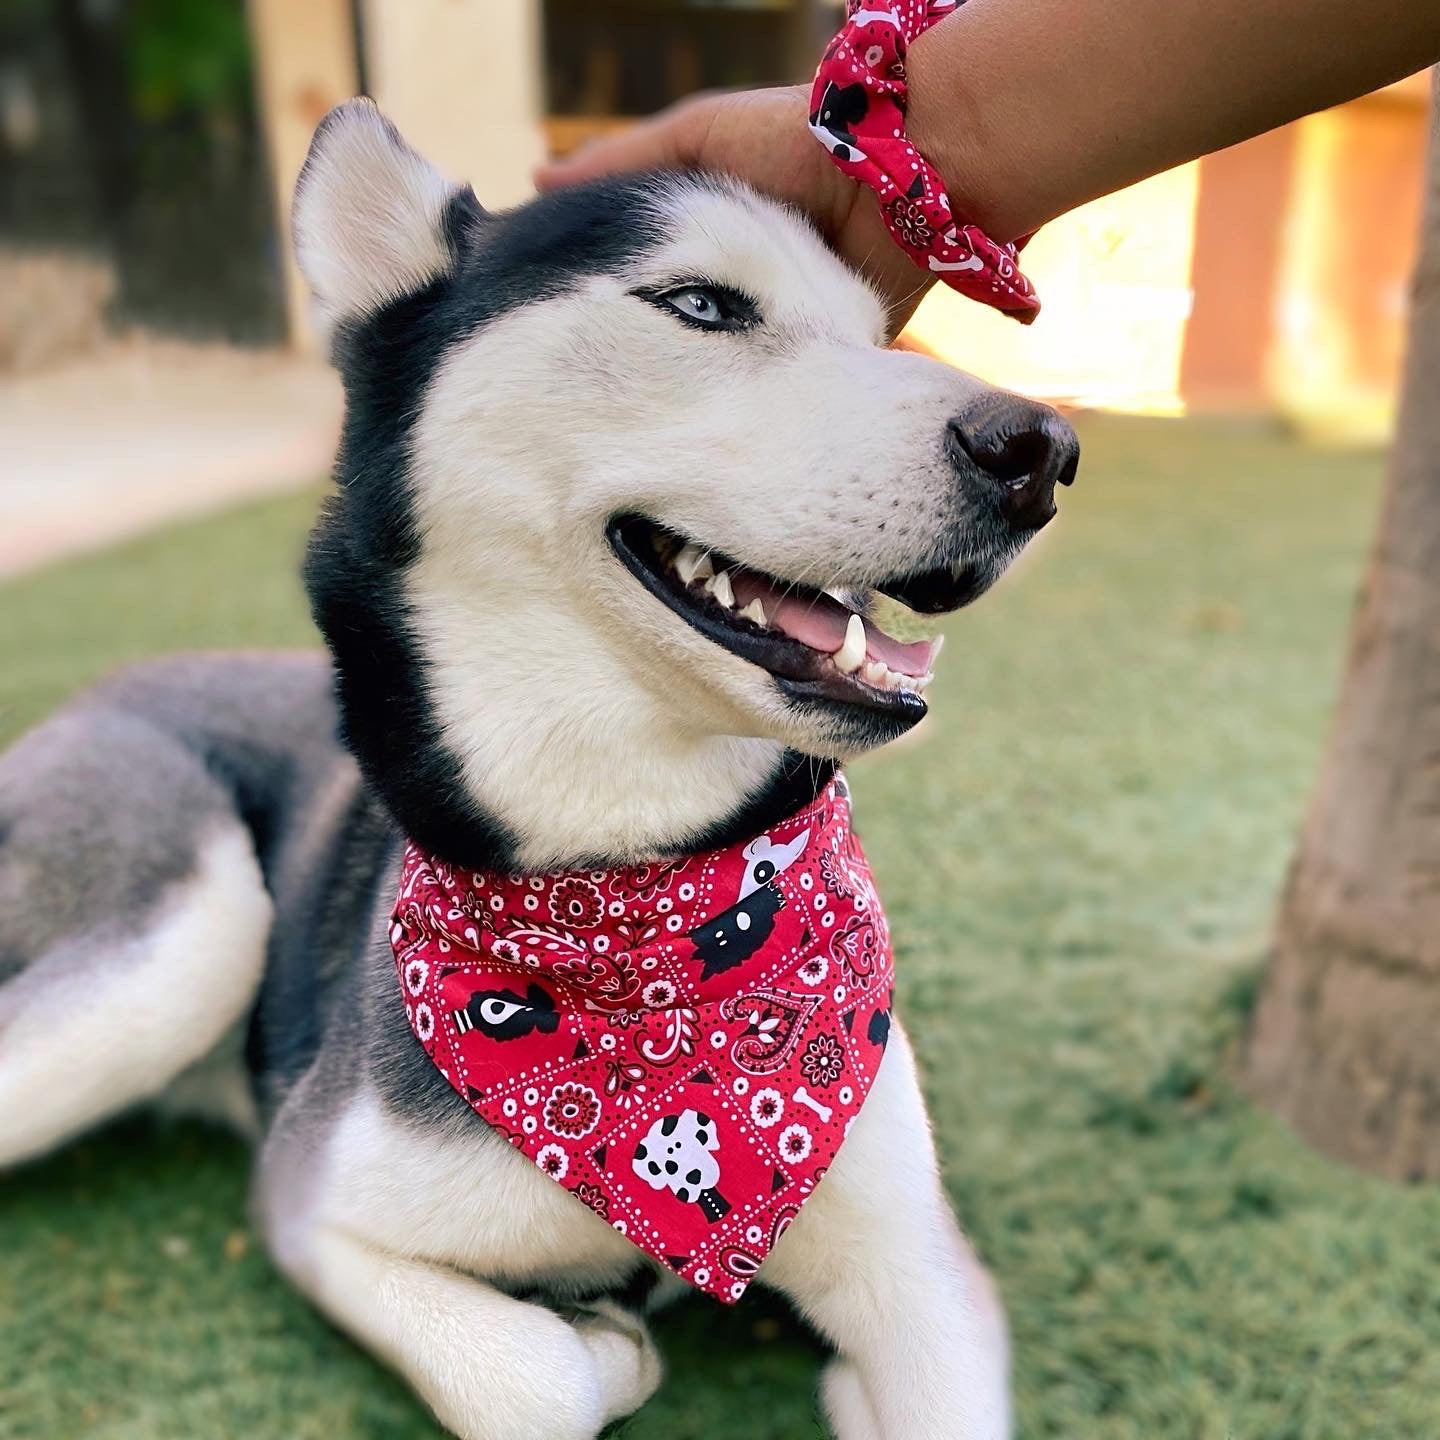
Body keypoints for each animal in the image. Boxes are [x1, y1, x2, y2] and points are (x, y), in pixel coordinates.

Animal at [0, 104, 1077, 1440]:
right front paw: (609, 1336)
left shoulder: (920, 1272)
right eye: (702, 305)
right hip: (181, 938)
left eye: (880, 337)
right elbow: (542, 1380)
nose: (1043, 447)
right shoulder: (314, 1204)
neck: (632, 887)